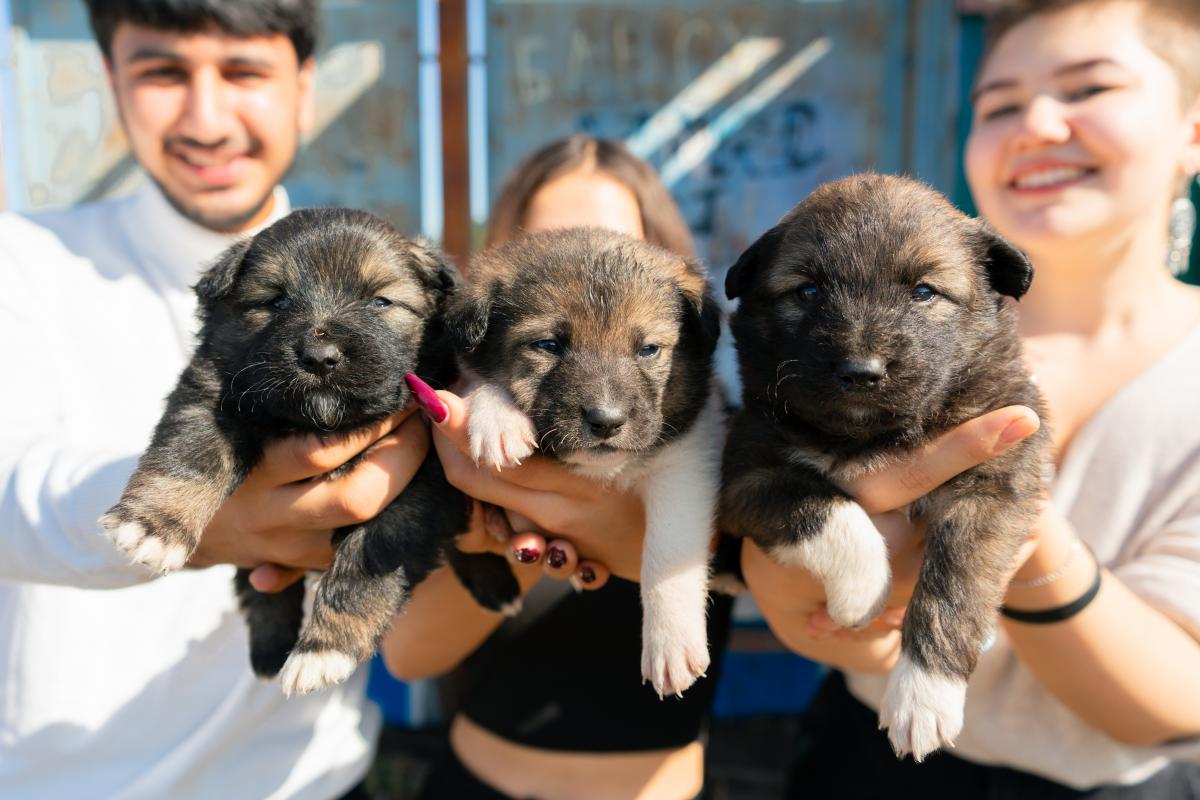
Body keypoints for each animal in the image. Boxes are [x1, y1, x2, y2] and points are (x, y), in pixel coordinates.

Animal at [102, 209, 516, 695]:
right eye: (277, 302)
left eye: (380, 302)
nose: (320, 356)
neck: (325, 423)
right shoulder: (212, 394)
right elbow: (193, 453)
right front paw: (152, 527)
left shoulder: (422, 485)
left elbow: (369, 557)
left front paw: (324, 649)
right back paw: (268, 646)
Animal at [451, 227, 724, 695]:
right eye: (548, 345)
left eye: (649, 349)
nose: (606, 420)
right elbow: (478, 382)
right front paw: (498, 417)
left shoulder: (686, 461)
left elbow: (668, 554)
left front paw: (670, 644)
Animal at [720, 172, 1051, 762]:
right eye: (807, 291)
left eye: (923, 291)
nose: (861, 371)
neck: (873, 434)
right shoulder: (747, 469)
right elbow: (821, 504)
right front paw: (863, 587)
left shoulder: (995, 481)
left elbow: (955, 583)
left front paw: (924, 696)